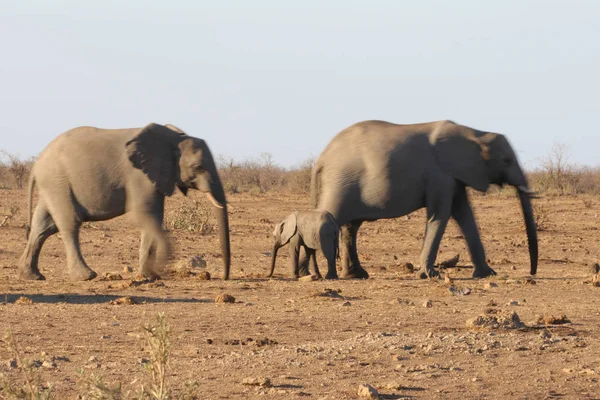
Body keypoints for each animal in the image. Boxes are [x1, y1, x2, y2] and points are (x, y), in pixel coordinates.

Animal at [17, 122, 231, 282]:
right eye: (199, 167)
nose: (225, 277)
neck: (173, 138)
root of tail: (36, 165)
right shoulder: (139, 175)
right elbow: (145, 214)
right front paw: (153, 272)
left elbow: (153, 215)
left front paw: (149, 275)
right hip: (57, 181)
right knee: (69, 223)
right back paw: (86, 276)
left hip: (53, 185)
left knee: (43, 227)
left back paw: (32, 276)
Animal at [308, 120, 536, 280]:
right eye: (506, 160)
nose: (532, 273)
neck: (475, 133)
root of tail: (321, 159)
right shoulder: (440, 175)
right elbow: (440, 215)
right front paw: (429, 275)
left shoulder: (454, 177)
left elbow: (465, 216)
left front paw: (487, 274)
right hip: (341, 183)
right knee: (327, 221)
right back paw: (318, 276)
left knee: (350, 227)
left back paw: (355, 275)